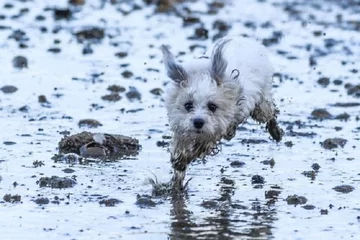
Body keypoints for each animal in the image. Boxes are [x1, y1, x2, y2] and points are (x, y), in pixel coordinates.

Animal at [161, 36, 284, 191]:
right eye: (188, 105)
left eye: (212, 106)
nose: (198, 122)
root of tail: (245, 39)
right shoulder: (181, 128)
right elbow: (179, 150)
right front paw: (178, 168)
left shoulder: (217, 129)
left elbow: (203, 144)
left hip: (261, 106)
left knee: (270, 113)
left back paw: (276, 132)